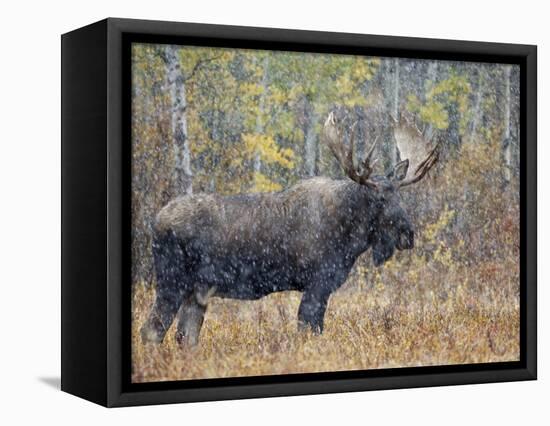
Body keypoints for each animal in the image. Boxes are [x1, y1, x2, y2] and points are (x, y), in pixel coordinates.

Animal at [141, 110, 440, 346]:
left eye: (399, 195)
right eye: (379, 199)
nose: (408, 235)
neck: (350, 238)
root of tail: (155, 222)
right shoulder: (318, 283)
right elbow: (310, 329)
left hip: (198, 290)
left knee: (185, 336)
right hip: (172, 281)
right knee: (152, 330)